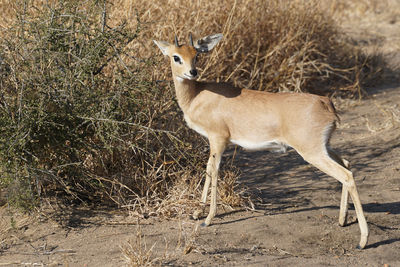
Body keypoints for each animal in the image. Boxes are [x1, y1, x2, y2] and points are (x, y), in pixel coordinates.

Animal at [153, 33, 368, 249]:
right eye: (176, 56)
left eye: (196, 55)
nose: (192, 72)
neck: (197, 96)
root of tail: (326, 103)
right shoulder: (213, 142)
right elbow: (208, 168)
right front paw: (197, 212)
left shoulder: (219, 139)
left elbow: (214, 171)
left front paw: (208, 218)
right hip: (324, 147)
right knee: (347, 163)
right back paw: (342, 220)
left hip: (312, 152)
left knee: (346, 176)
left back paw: (363, 240)